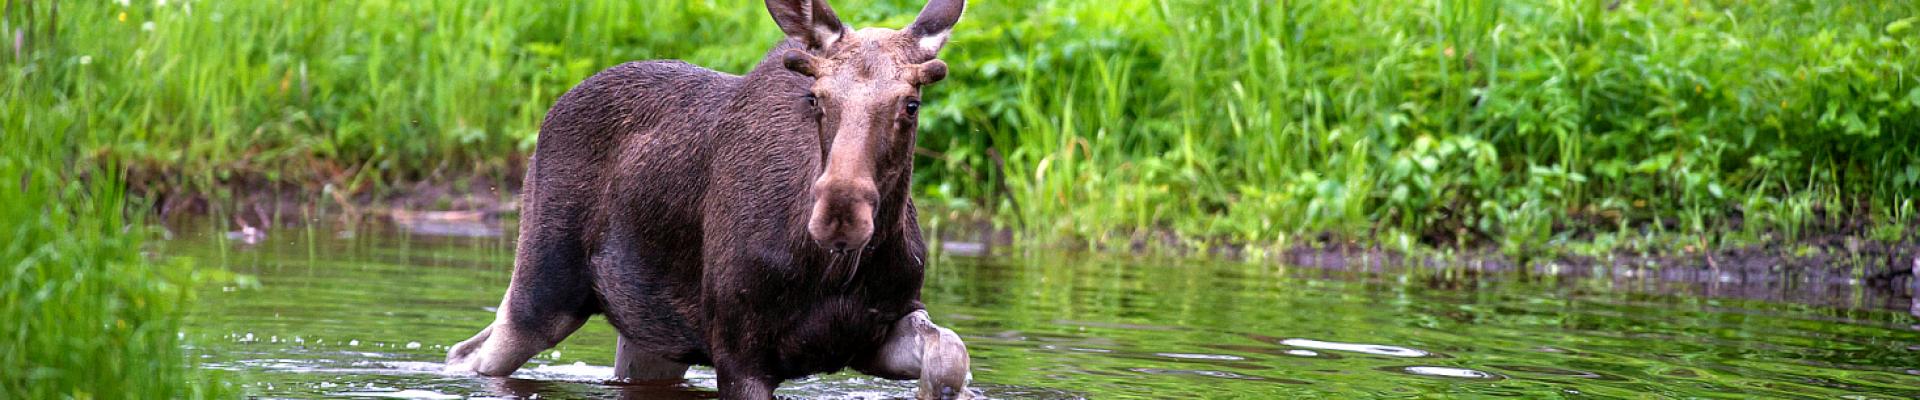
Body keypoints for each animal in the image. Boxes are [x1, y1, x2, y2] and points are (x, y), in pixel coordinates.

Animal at [447, 0, 975, 398]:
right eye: (816, 98)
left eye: (911, 103)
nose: (840, 215)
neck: (832, 269)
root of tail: (552, 112)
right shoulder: (739, 354)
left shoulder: (875, 328)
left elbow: (952, 352)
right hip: (543, 291)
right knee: (467, 354)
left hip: (650, 336)